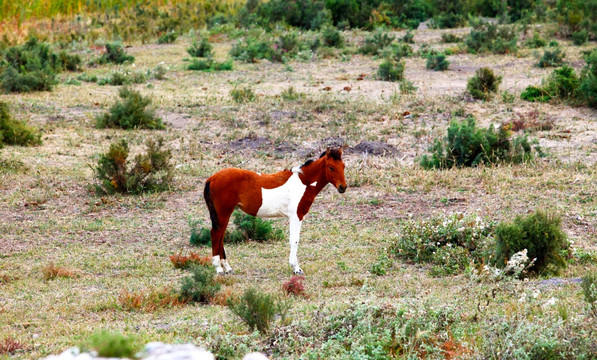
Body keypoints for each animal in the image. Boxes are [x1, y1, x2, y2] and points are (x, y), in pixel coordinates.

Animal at [204, 148, 346, 274]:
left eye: (343, 166)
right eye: (331, 167)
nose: (343, 187)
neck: (304, 182)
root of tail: (212, 178)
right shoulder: (296, 216)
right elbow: (294, 240)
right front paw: (296, 268)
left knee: (220, 236)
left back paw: (227, 268)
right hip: (223, 213)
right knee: (216, 235)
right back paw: (219, 268)